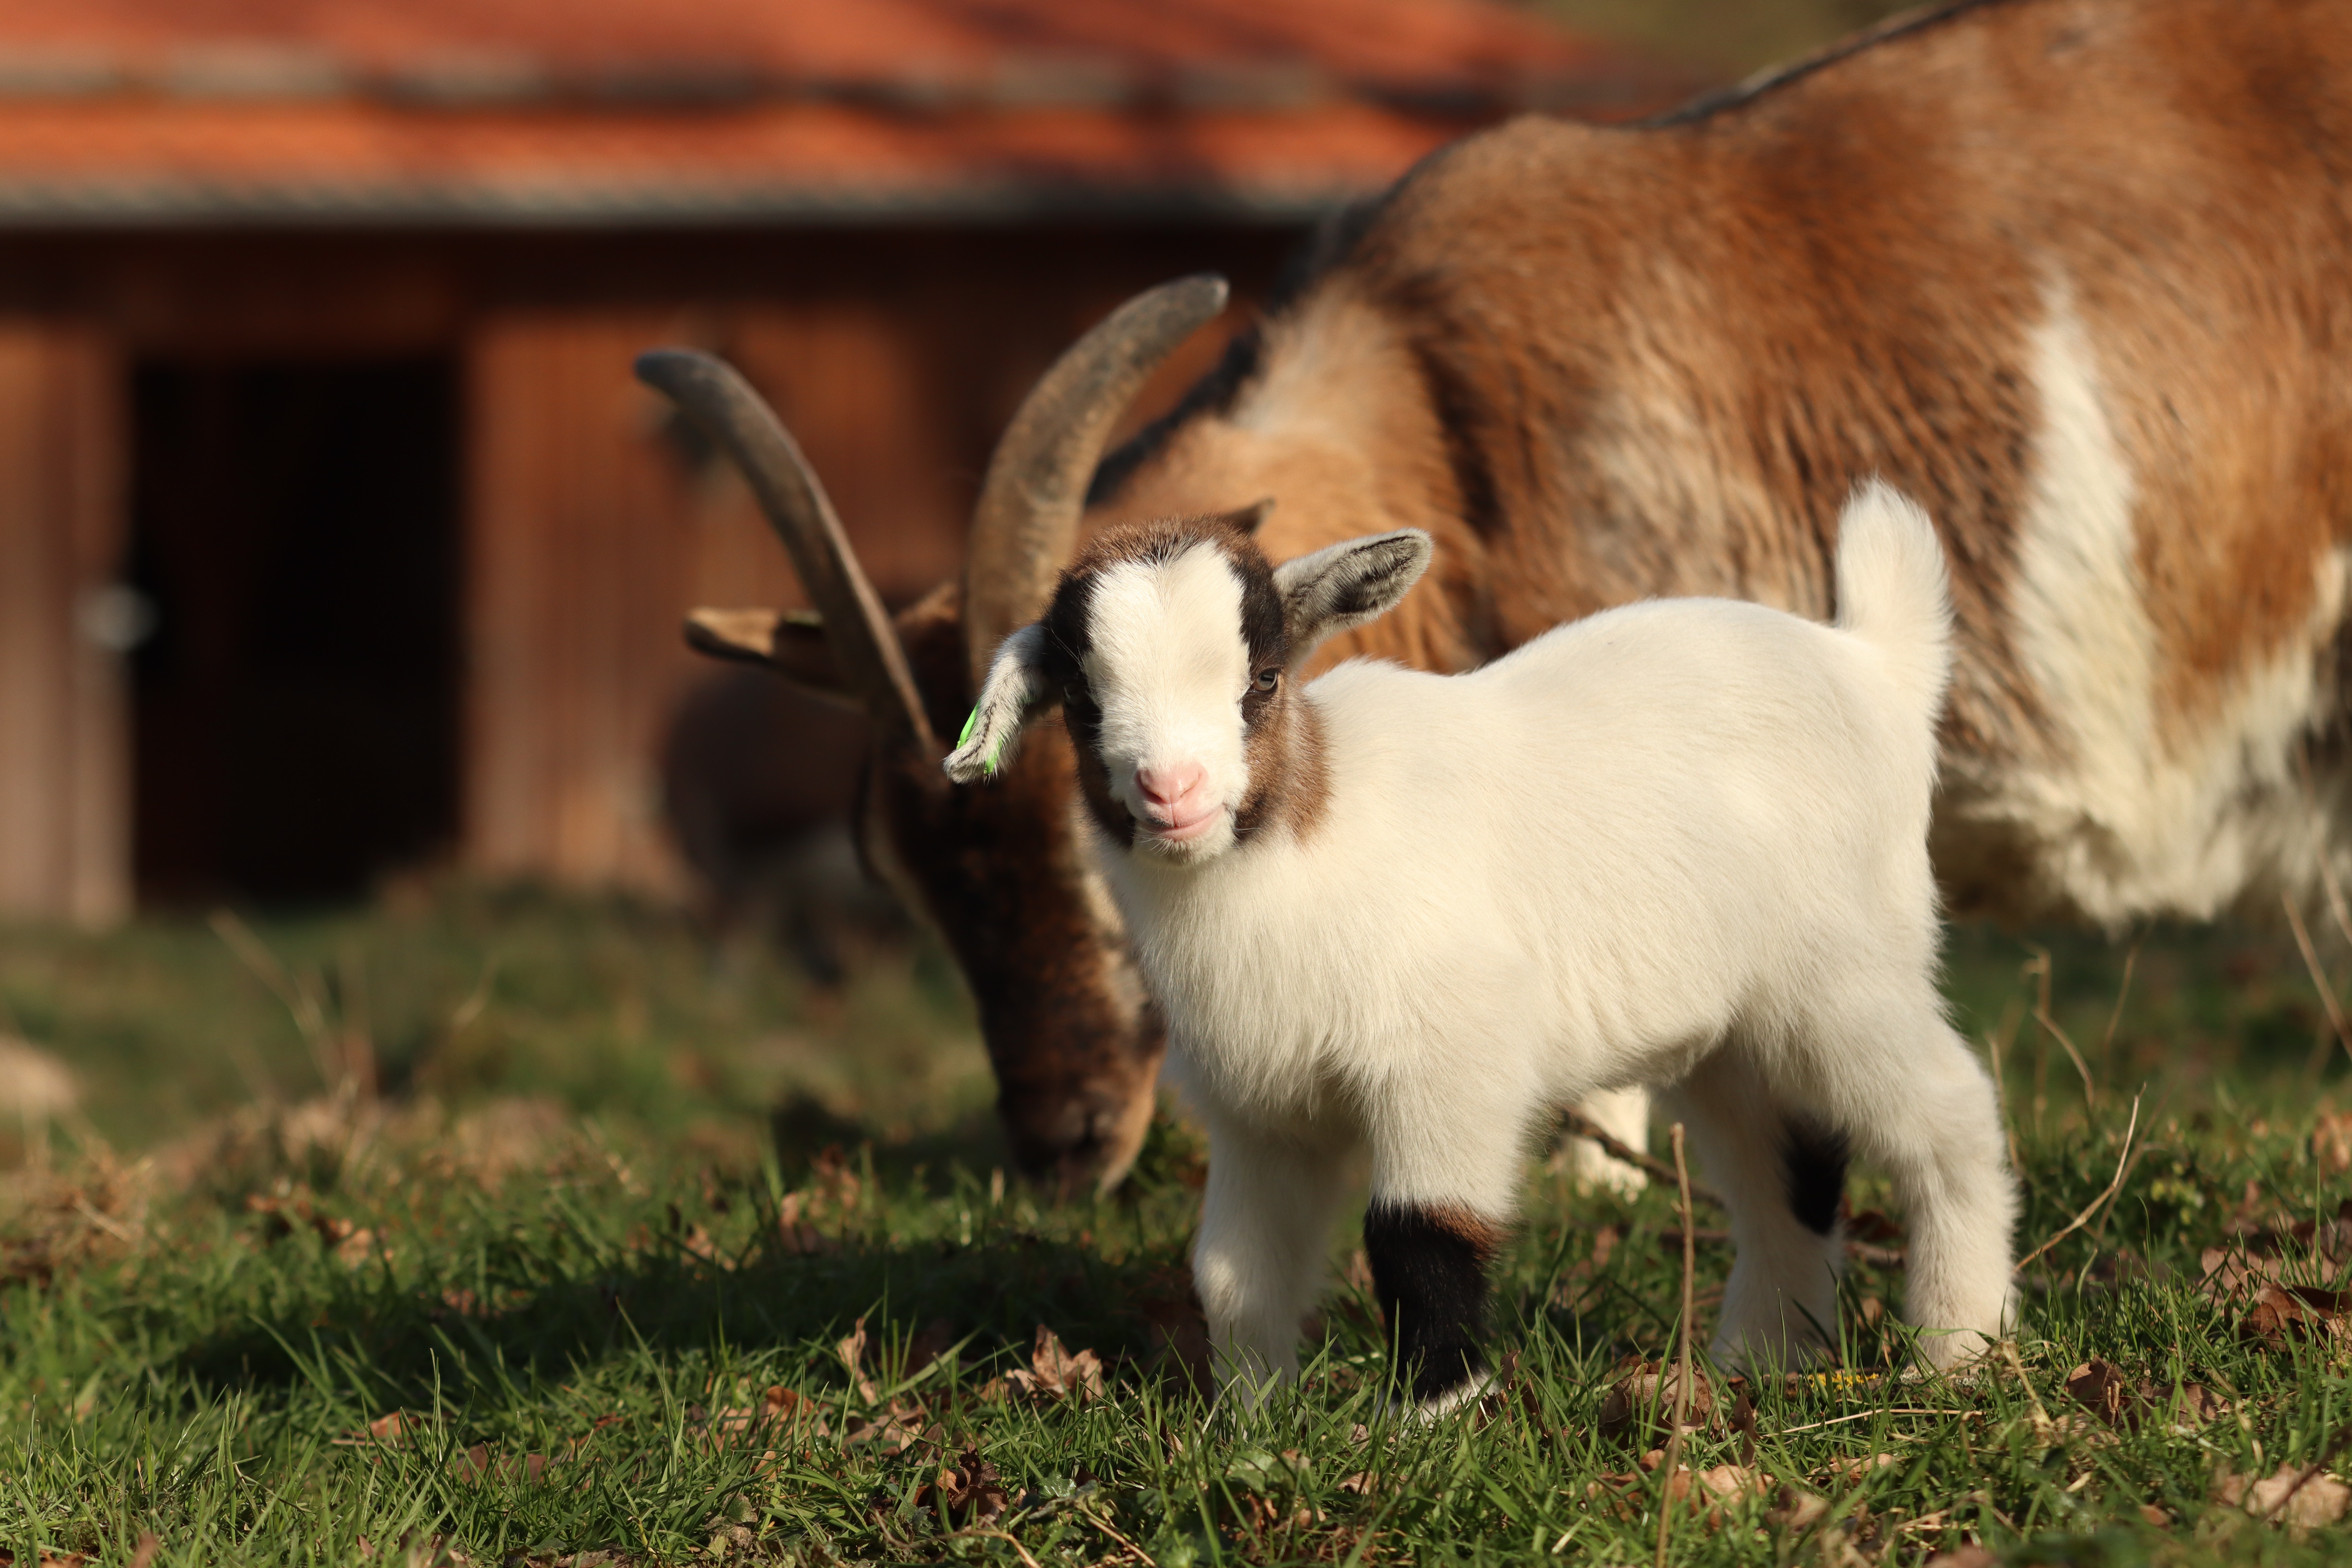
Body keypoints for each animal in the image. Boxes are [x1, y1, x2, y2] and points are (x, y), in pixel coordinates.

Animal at [944, 484, 2017, 1406]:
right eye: (1083, 701)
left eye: (1263, 678)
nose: (1173, 792)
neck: (1305, 835)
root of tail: (1875, 667)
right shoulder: (1260, 1109)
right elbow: (1234, 1271)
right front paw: (1252, 1423)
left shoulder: (1450, 1061)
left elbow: (1421, 1235)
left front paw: (1431, 1420)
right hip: (1732, 1030)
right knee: (1790, 1164)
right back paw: (1759, 1359)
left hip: (1847, 972)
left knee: (1950, 1112)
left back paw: (1956, 1351)